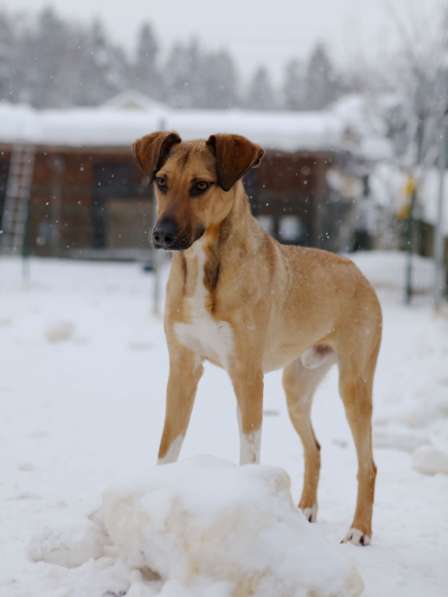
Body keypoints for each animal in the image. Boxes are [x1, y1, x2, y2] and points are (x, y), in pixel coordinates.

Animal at [132, 132, 382, 544]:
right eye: (162, 181)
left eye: (201, 185)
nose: (162, 235)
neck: (203, 268)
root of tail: (357, 270)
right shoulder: (183, 368)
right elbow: (168, 447)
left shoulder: (247, 376)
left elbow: (249, 453)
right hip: (296, 386)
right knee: (314, 448)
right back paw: (306, 509)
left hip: (354, 385)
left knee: (369, 464)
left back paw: (359, 529)